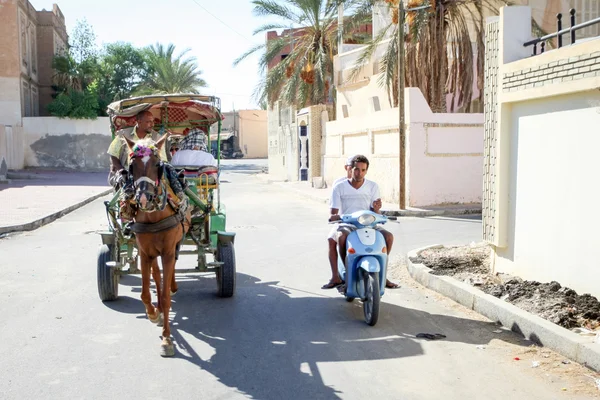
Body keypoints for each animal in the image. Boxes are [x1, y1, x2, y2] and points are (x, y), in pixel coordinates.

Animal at [120, 134, 189, 356]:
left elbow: (166, 297)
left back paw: (172, 287)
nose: (143, 198)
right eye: (131, 166)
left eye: (157, 164)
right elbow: (144, 293)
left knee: (169, 271)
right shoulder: (144, 253)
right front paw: (153, 314)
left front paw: (167, 340)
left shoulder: (167, 251)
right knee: (157, 276)